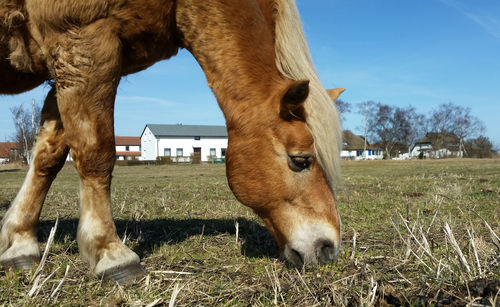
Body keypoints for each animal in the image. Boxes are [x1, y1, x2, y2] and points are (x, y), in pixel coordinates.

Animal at [0, 0, 344, 286]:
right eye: (301, 160)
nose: (329, 248)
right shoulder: (83, 45)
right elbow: (96, 152)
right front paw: (111, 253)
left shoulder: (64, 67)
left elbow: (48, 157)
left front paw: (20, 244)